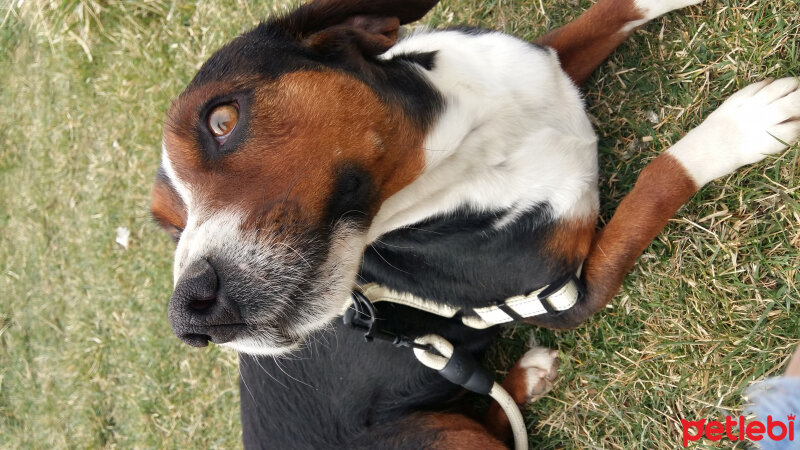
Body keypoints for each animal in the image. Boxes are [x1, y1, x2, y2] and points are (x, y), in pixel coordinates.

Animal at [150, 0, 800, 444]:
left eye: (221, 119)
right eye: (171, 227)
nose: (191, 316)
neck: (474, 142)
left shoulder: (544, 62)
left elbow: (617, 8)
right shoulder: (569, 294)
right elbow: (659, 178)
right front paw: (743, 126)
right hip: (444, 436)